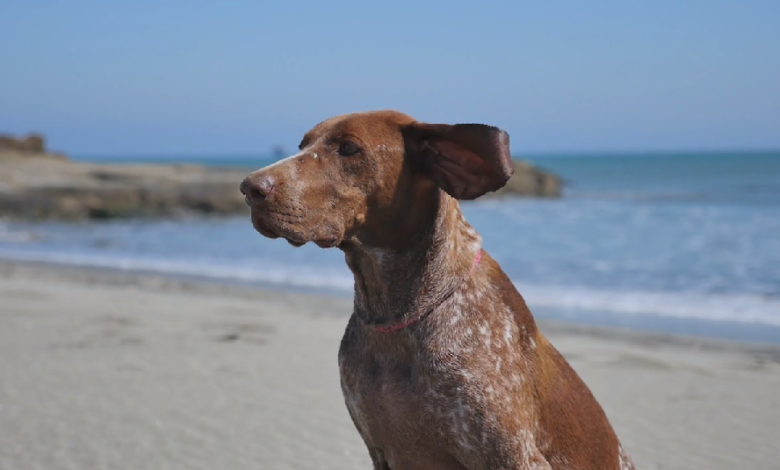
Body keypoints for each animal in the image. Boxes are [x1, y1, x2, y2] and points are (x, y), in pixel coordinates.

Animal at [241, 111, 636, 470]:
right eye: (302, 146)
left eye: (349, 148)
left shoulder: (515, 456)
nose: (249, 189)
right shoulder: (379, 451)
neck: (396, 315)